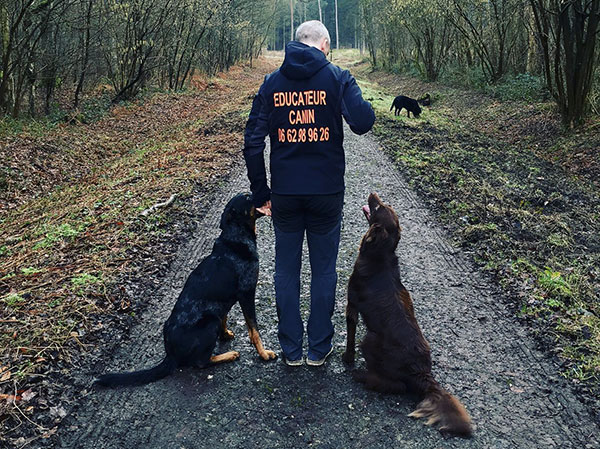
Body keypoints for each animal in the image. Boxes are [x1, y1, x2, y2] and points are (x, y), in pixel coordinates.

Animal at [96, 191, 276, 386]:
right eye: (248, 197)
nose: (269, 192)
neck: (236, 237)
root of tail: (170, 354)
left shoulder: (224, 302)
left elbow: (225, 317)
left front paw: (225, 333)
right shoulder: (247, 294)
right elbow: (254, 329)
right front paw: (264, 353)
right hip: (209, 322)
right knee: (200, 362)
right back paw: (229, 355)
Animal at [342, 193, 474, 438]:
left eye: (379, 207)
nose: (373, 194)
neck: (380, 256)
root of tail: (422, 372)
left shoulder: (351, 304)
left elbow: (350, 335)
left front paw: (347, 358)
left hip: (370, 339)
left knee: (396, 386)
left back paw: (362, 375)